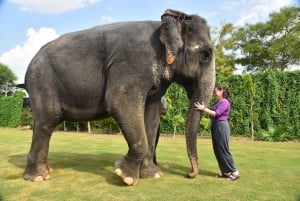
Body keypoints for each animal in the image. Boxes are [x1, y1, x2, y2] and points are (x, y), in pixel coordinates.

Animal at [24, 9, 216, 185]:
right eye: (206, 55)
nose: (189, 174)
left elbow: (151, 115)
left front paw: (152, 175)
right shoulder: (131, 64)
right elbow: (119, 102)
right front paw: (125, 176)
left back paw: (46, 171)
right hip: (41, 81)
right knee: (48, 120)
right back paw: (39, 177)